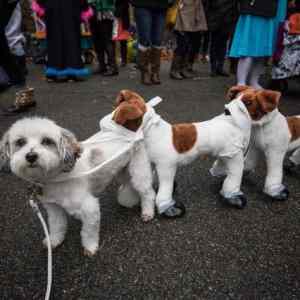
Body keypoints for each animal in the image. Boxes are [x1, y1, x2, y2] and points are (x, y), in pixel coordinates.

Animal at [0, 116, 155, 256]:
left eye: (47, 141)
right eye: (20, 142)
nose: (31, 156)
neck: (58, 178)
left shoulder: (89, 208)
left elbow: (88, 232)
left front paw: (90, 247)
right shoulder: (53, 207)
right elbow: (56, 225)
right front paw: (54, 241)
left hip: (138, 170)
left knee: (147, 192)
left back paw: (148, 212)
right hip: (121, 170)